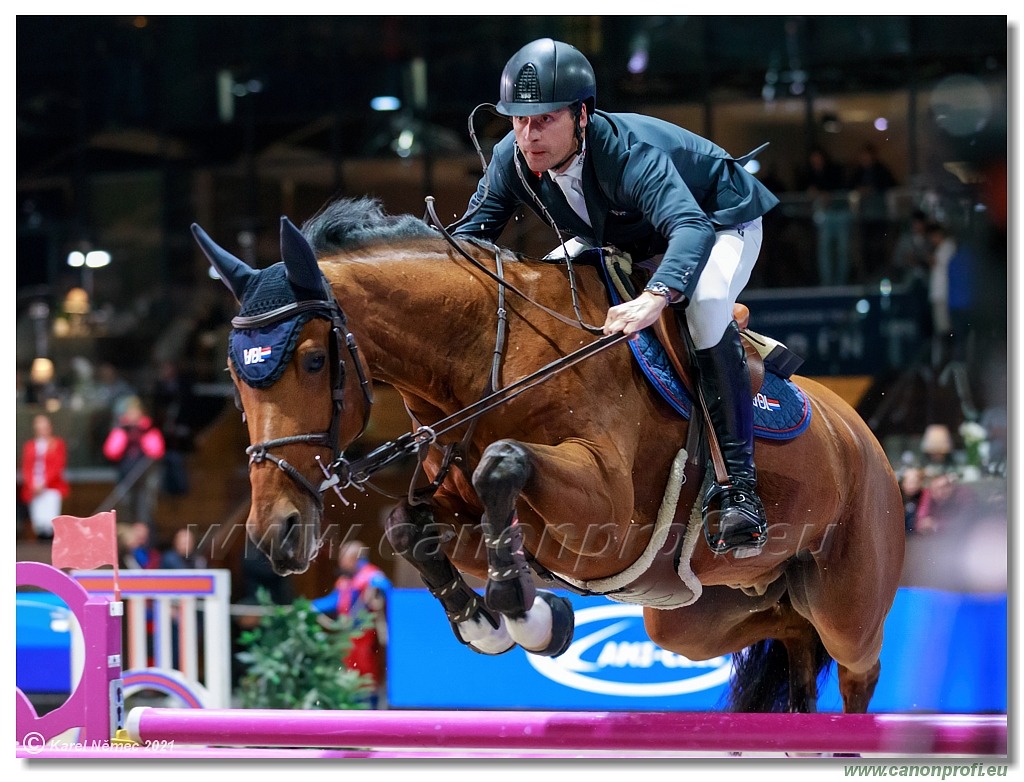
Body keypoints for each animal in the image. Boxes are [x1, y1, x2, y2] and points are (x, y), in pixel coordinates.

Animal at [197, 196, 905, 716]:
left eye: (314, 362)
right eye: (232, 378)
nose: (278, 532)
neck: (490, 359)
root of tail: (863, 437)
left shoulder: (608, 514)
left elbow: (503, 464)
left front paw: (530, 615)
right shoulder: (461, 516)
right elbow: (406, 525)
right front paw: (486, 622)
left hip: (848, 603)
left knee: (856, 666)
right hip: (694, 616)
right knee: (790, 633)